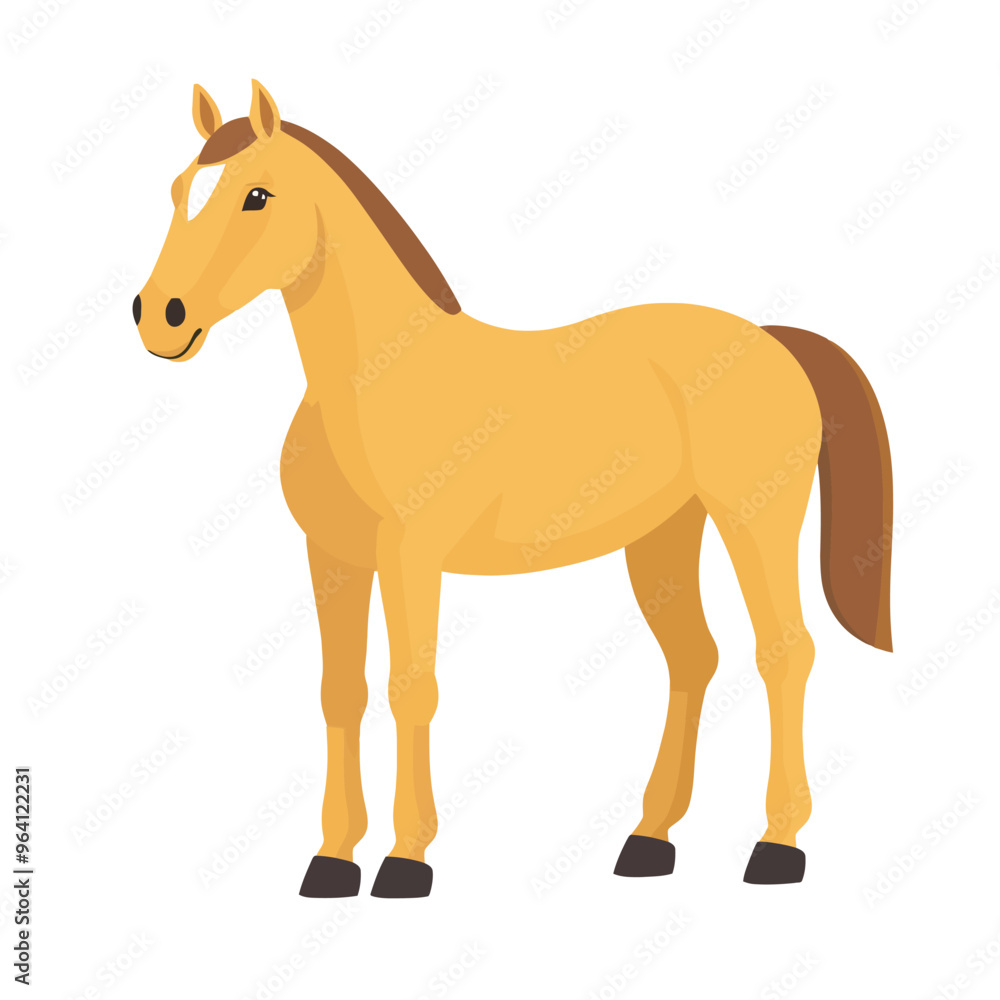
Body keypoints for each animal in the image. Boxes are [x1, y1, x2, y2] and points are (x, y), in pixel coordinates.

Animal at [133, 80, 892, 898]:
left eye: (257, 194)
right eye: (177, 189)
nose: (160, 316)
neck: (377, 378)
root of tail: (772, 339)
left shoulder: (412, 555)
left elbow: (411, 687)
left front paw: (406, 861)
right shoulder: (332, 555)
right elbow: (341, 691)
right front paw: (332, 860)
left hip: (755, 519)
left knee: (784, 652)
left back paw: (776, 846)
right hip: (663, 536)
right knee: (693, 658)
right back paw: (649, 840)